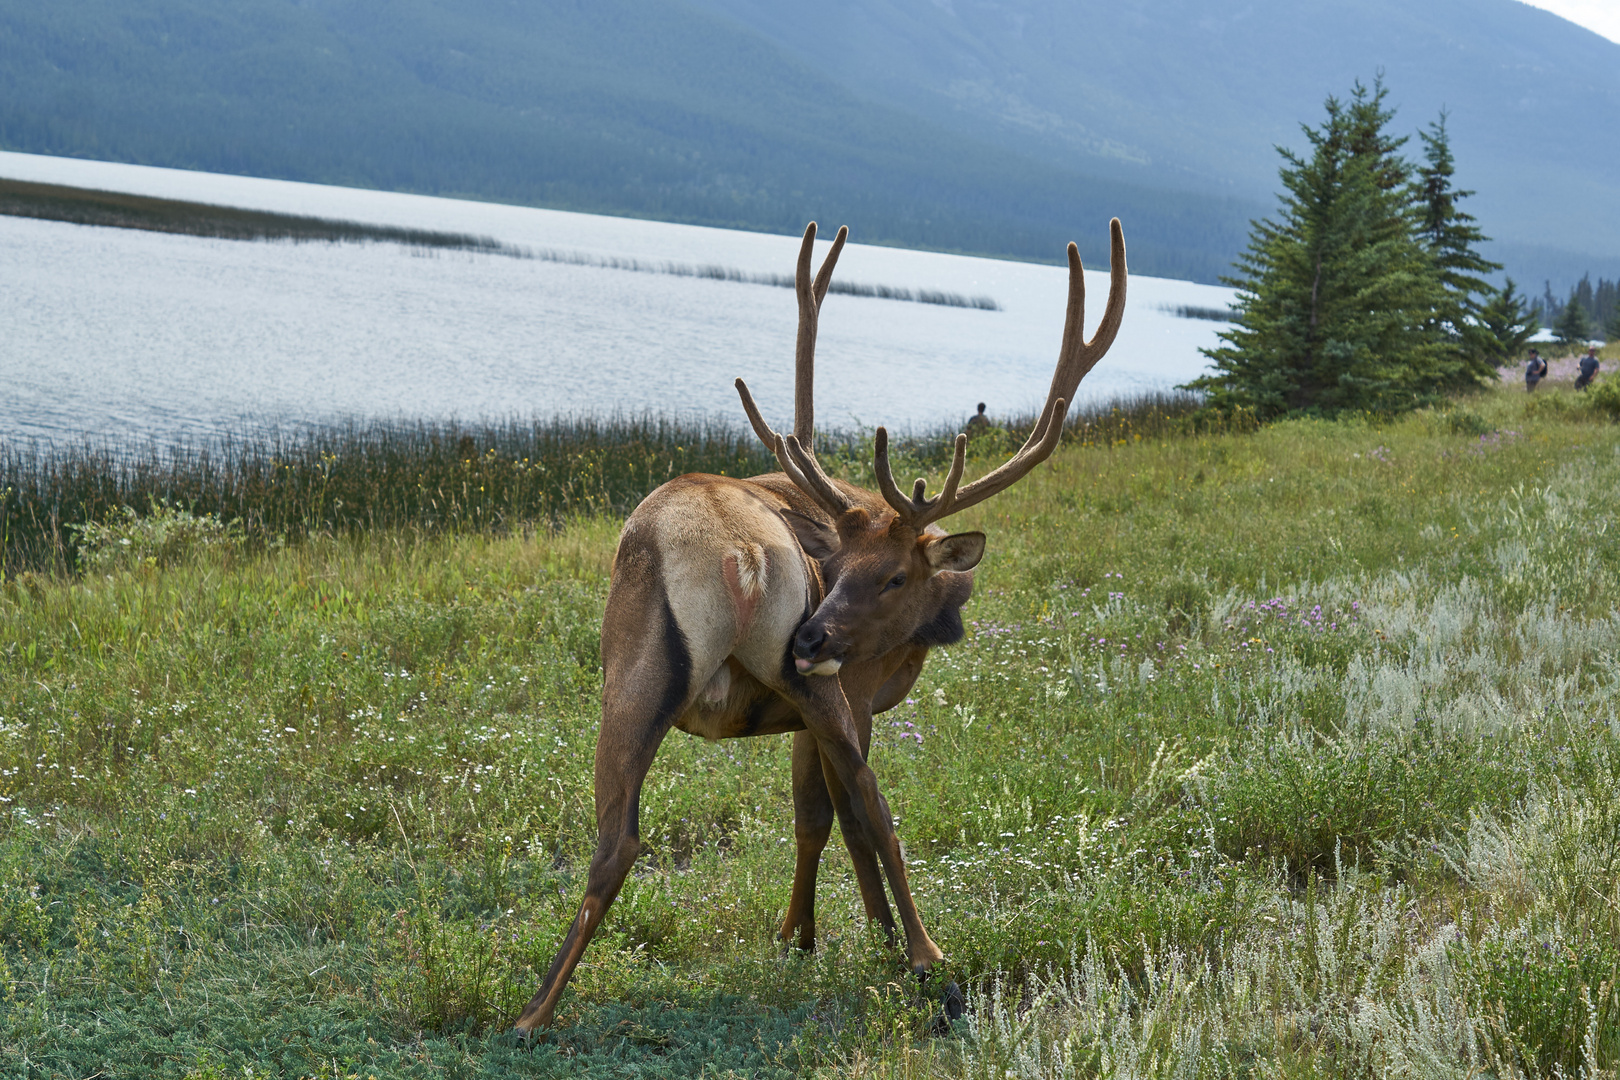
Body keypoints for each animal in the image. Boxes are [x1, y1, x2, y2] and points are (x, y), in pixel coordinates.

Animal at [518, 216, 1127, 1029]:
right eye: (838, 568)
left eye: (891, 575)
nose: (811, 634)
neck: (922, 632)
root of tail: (740, 551)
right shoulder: (857, 691)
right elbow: (843, 813)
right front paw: (862, 937)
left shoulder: (800, 708)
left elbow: (811, 818)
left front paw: (799, 935)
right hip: (768, 681)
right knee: (872, 808)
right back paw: (930, 959)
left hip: (647, 676)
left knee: (620, 838)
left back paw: (535, 1010)